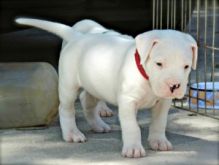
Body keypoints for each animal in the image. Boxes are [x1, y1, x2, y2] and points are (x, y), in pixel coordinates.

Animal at [16, 17, 198, 158]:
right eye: (159, 64)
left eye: (186, 66)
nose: (174, 86)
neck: (145, 77)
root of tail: (78, 37)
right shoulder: (127, 102)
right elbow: (132, 127)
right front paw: (133, 149)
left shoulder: (163, 103)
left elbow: (159, 123)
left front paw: (159, 141)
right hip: (69, 86)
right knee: (66, 109)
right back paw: (72, 134)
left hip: (94, 85)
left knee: (87, 103)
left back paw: (98, 125)